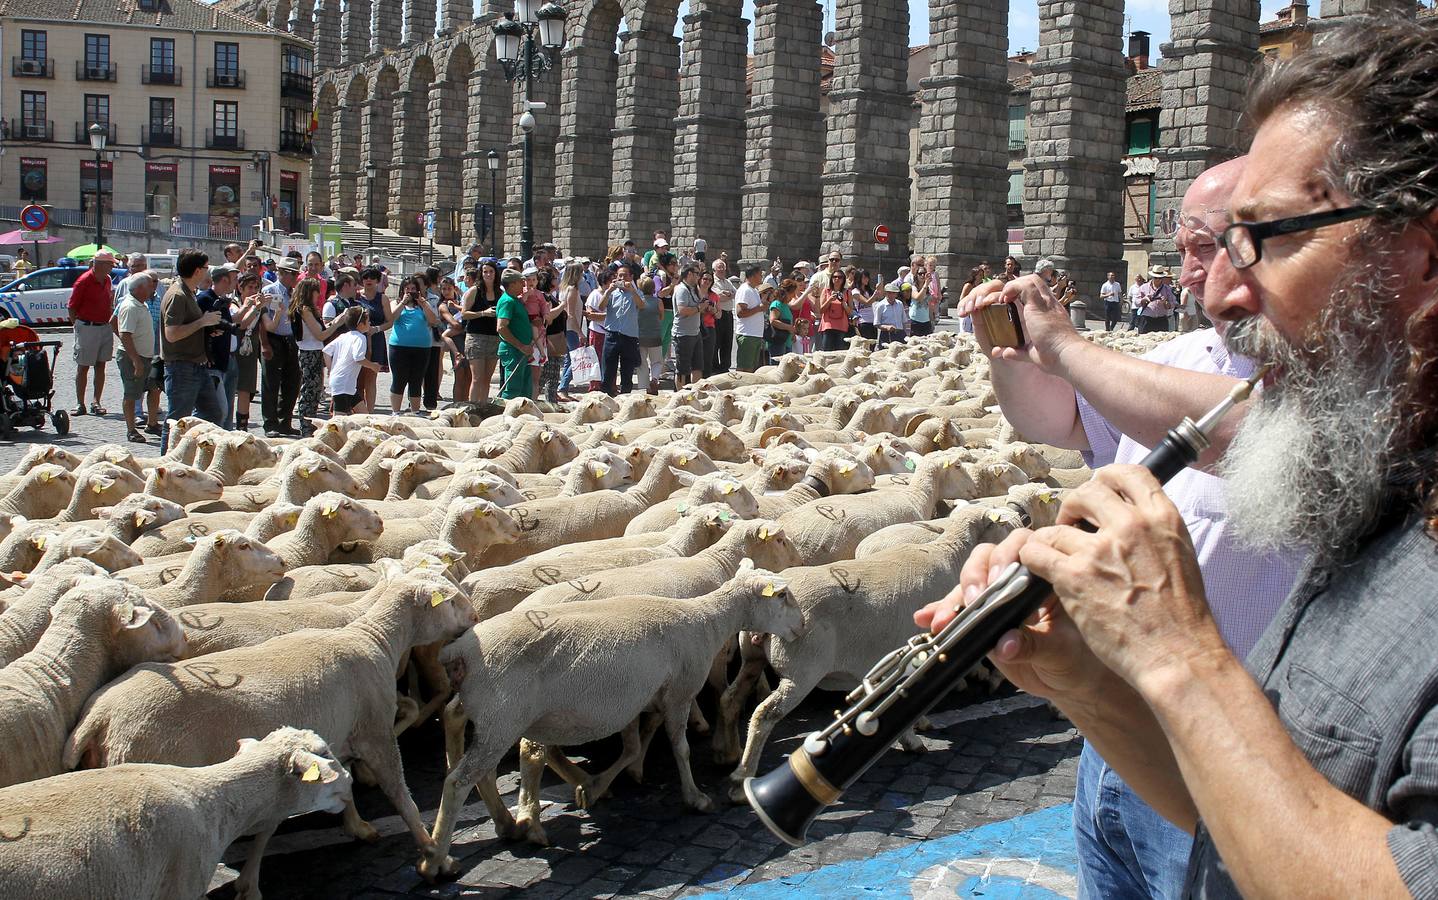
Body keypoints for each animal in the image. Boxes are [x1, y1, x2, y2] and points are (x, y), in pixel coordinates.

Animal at [66, 572, 477, 874]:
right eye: (451, 600)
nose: (475, 617)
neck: (374, 637)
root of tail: (98, 719)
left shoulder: (336, 727)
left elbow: (341, 777)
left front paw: (357, 825)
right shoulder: (374, 729)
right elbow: (400, 793)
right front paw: (434, 853)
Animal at [419, 566, 811, 862]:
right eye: (782, 596)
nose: (803, 627)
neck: (705, 621)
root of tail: (459, 651)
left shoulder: (641, 698)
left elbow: (635, 746)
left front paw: (596, 787)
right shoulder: (680, 692)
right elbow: (680, 748)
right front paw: (695, 798)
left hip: (488, 713)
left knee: (471, 751)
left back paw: (508, 824)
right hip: (504, 717)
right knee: (461, 780)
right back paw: (438, 859)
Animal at [713, 506, 1018, 793]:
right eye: (1005, 526)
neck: (953, 558)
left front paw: (914, 730)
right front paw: (914, 735)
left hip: (753, 658)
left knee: (730, 698)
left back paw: (728, 755)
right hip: (801, 671)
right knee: (764, 715)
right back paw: (742, 778)